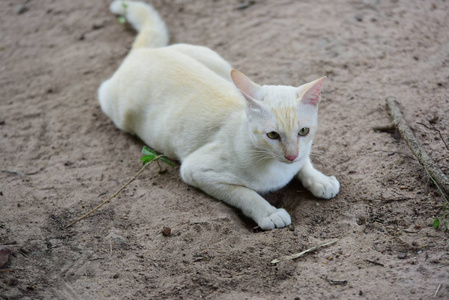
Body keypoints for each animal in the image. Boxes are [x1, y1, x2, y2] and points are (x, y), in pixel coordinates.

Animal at [97, 0, 336, 230]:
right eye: (272, 135)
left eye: (303, 131)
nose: (291, 156)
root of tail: (143, 52)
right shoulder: (196, 170)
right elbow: (245, 193)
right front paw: (269, 213)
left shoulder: (303, 151)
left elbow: (305, 163)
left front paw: (321, 180)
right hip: (114, 107)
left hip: (217, 61)